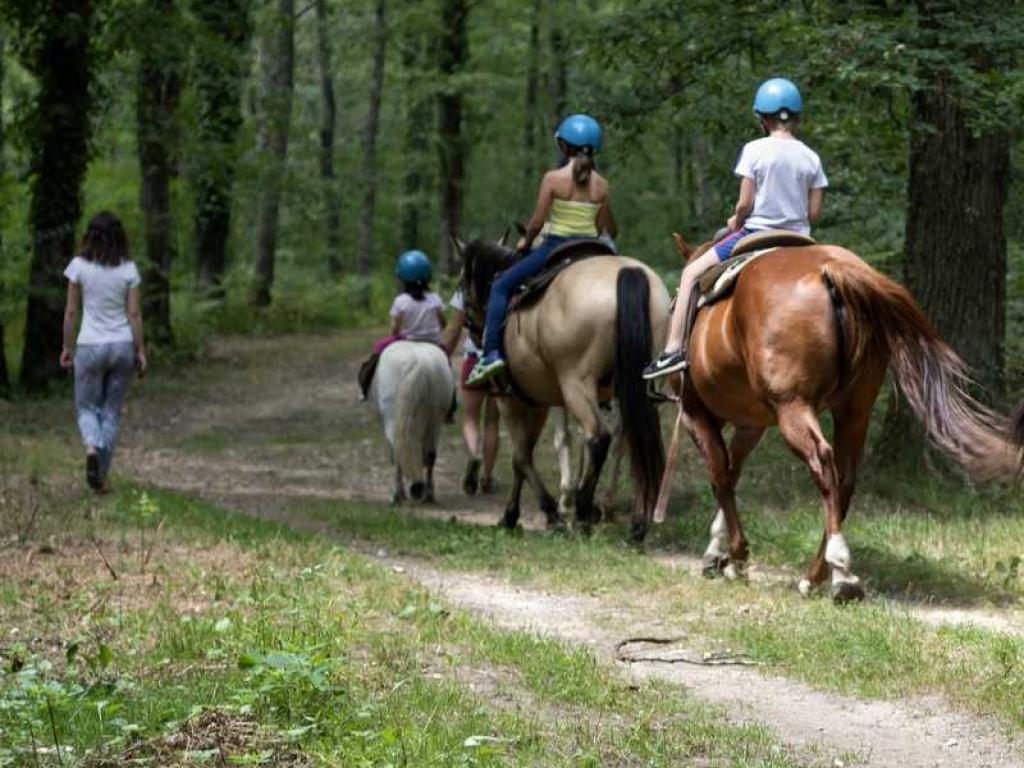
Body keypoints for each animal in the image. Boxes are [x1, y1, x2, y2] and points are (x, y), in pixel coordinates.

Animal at [366, 342, 450, 505]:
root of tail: (420, 363)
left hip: (392, 420)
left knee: (398, 452)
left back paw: (397, 495)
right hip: (435, 422)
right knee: (431, 454)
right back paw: (428, 494)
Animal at [655, 231, 1024, 606]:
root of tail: (833, 268)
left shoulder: (695, 413)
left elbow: (719, 476)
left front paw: (734, 554)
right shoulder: (752, 423)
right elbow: (732, 471)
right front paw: (721, 551)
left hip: (794, 407)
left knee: (823, 465)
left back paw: (840, 570)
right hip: (854, 409)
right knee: (844, 478)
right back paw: (819, 575)